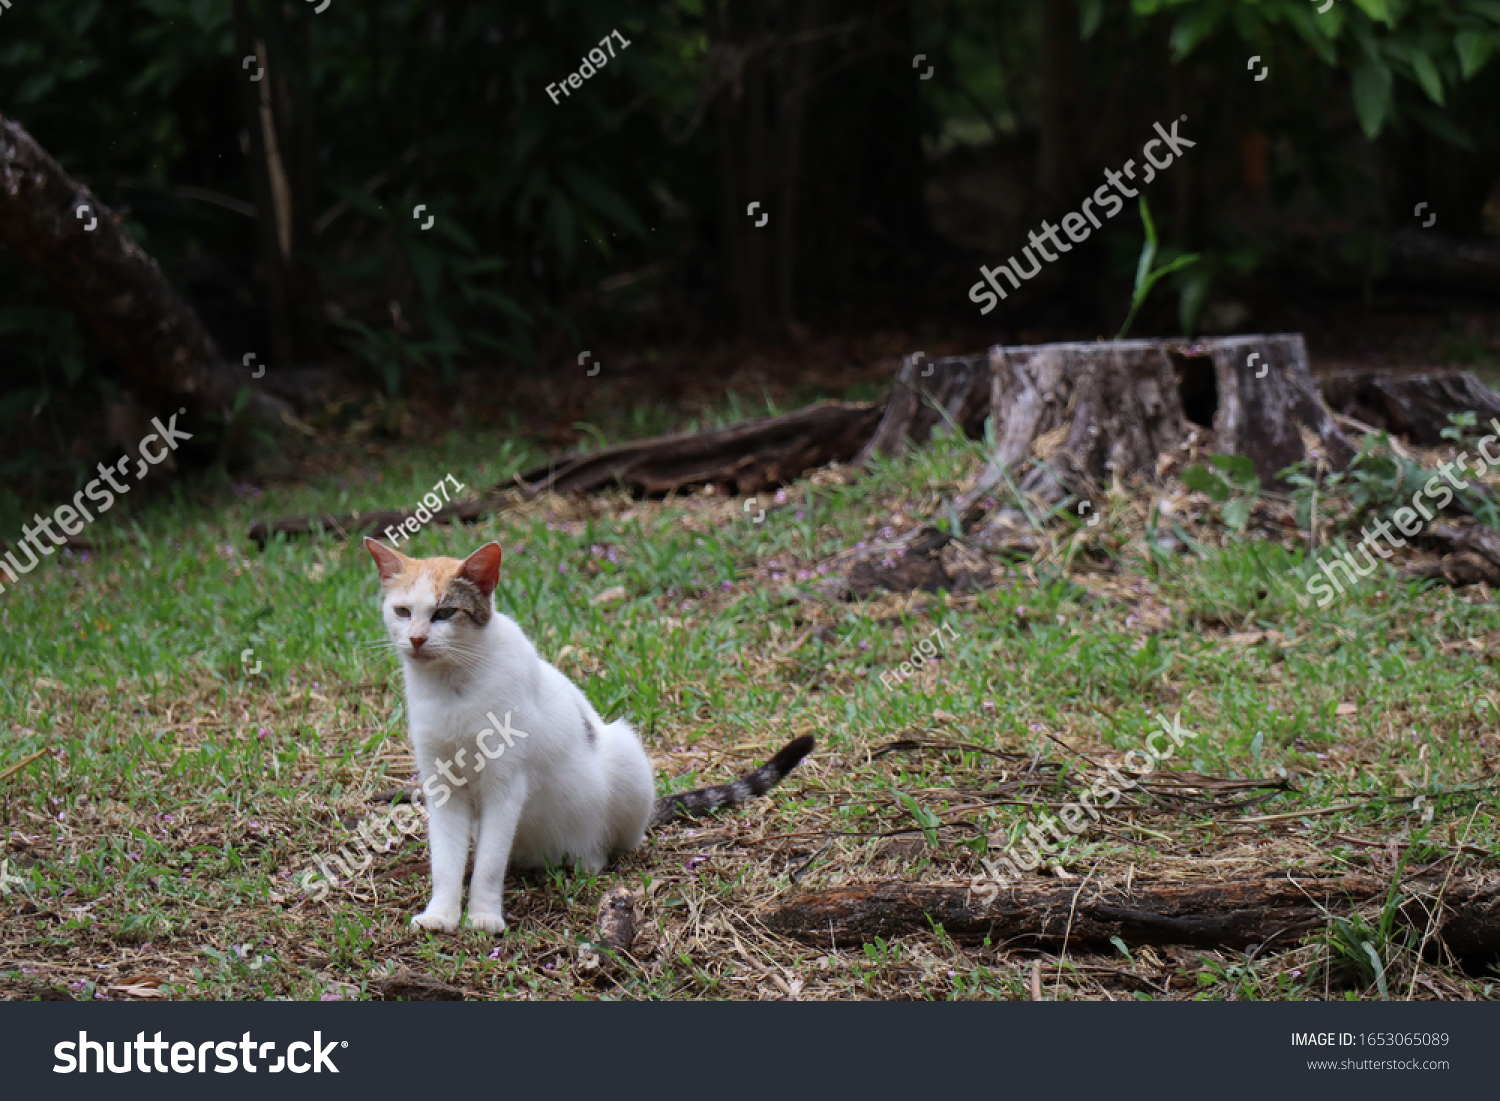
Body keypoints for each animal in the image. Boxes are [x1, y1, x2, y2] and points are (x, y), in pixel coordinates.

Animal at [363, 540, 816, 936]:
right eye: (402, 611)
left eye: (444, 612)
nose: (416, 638)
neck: (452, 688)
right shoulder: (442, 785)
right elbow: (445, 860)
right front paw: (441, 914)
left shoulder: (505, 784)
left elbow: (490, 863)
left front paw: (485, 916)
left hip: (626, 754)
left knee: (613, 844)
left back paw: (587, 860)